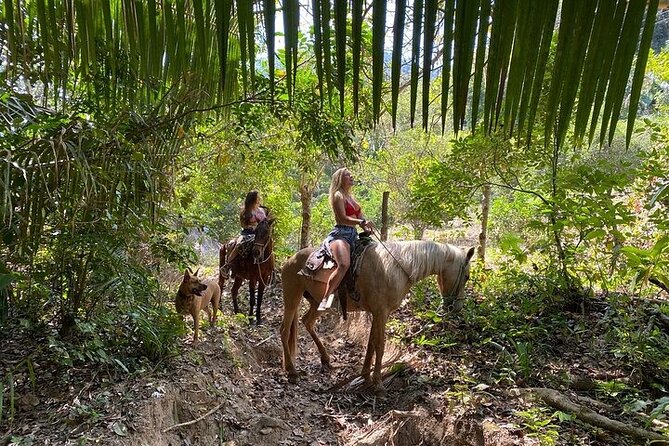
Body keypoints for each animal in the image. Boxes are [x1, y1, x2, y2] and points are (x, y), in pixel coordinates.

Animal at [280, 239, 472, 396]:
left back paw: (325, 359)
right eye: (467, 276)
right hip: (292, 298)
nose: (456, 308)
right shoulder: (381, 312)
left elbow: (371, 343)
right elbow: (380, 345)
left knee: (307, 322)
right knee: (284, 331)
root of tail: (290, 260)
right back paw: (291, 370)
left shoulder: (377, 313)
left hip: (317, 303)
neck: (397, 268)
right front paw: (378, 385)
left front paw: (366, 375)